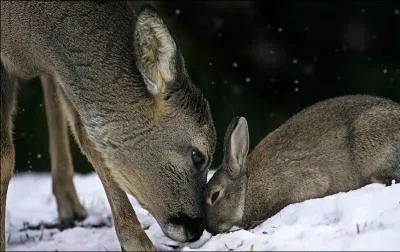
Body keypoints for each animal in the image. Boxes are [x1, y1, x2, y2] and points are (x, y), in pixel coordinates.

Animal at [0, 0, 216, 251]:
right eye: (198, 156)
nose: (195, 228)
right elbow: (5, 158)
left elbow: (89, 139)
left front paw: (137, 243)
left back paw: (70, 206)